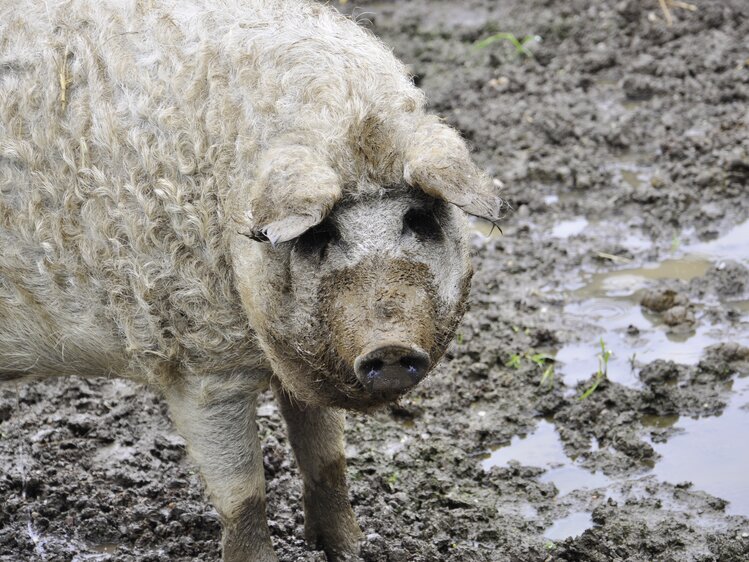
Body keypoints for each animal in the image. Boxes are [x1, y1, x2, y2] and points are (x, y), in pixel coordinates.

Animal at [0, 1, 502, 560]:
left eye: (418, 219)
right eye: (322, 232)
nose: (389, 345)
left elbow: (327, 458)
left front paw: (351, 549)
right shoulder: (198, 364)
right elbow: (244, 490)